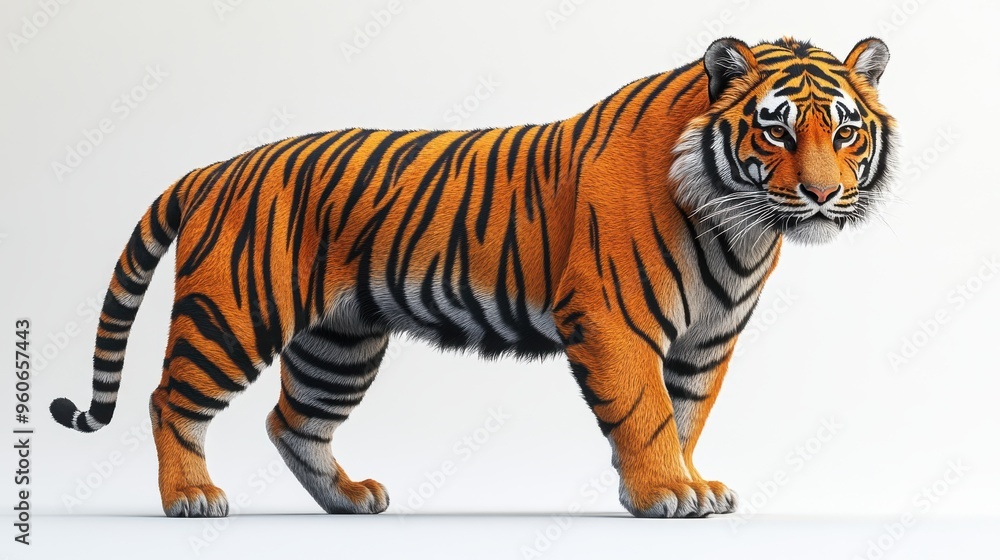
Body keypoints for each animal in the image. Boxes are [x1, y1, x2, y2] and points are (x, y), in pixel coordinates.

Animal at [51, 36, 895, 518]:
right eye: (776, 131)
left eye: (846, 133)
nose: (823, 194)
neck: (739, 227)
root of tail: (216, 167)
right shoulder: (614, 322)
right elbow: (647, 411)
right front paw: (667, 493)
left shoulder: (706, 341)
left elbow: (685, 415)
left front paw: (680, 485)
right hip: (233, 314)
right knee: (170, 400)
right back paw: (190, 498)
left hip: (338, 343)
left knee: (293, 421)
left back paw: (350, 500)